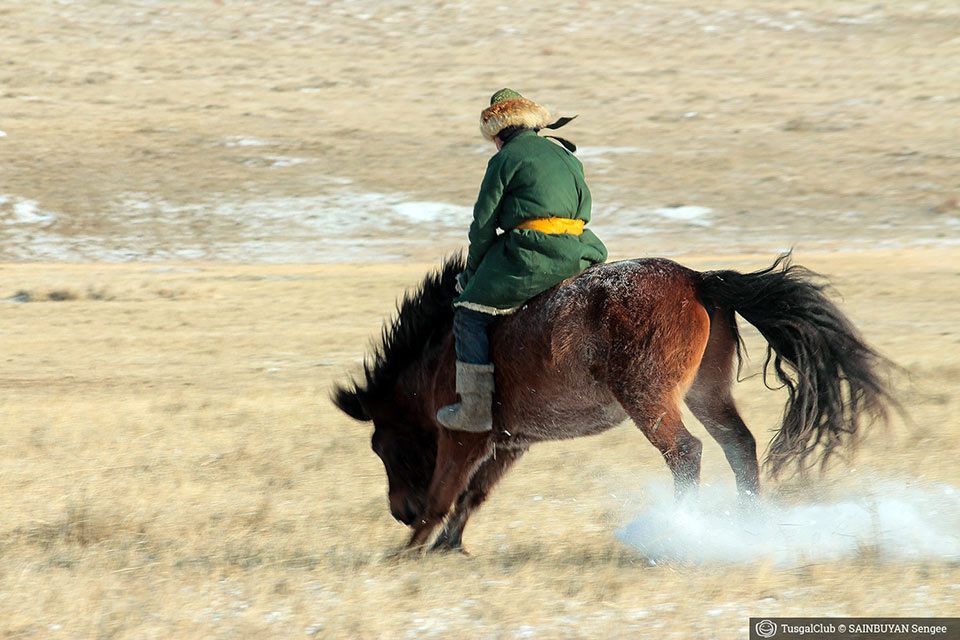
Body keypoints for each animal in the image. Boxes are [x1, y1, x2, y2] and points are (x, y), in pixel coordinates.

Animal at [332, 253, 893, 553]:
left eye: (383, 447)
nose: (397, 511)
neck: (440, 354)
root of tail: (698, 280)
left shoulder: (462, 436)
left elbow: (444, 494)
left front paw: (408, 550)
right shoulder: (511, 442)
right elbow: (473, 495)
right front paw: (446, 546)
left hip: (650, 400)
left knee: (685, 454)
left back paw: (677, 533)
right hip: (705, 393)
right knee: (739, 445)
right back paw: (746, 526)